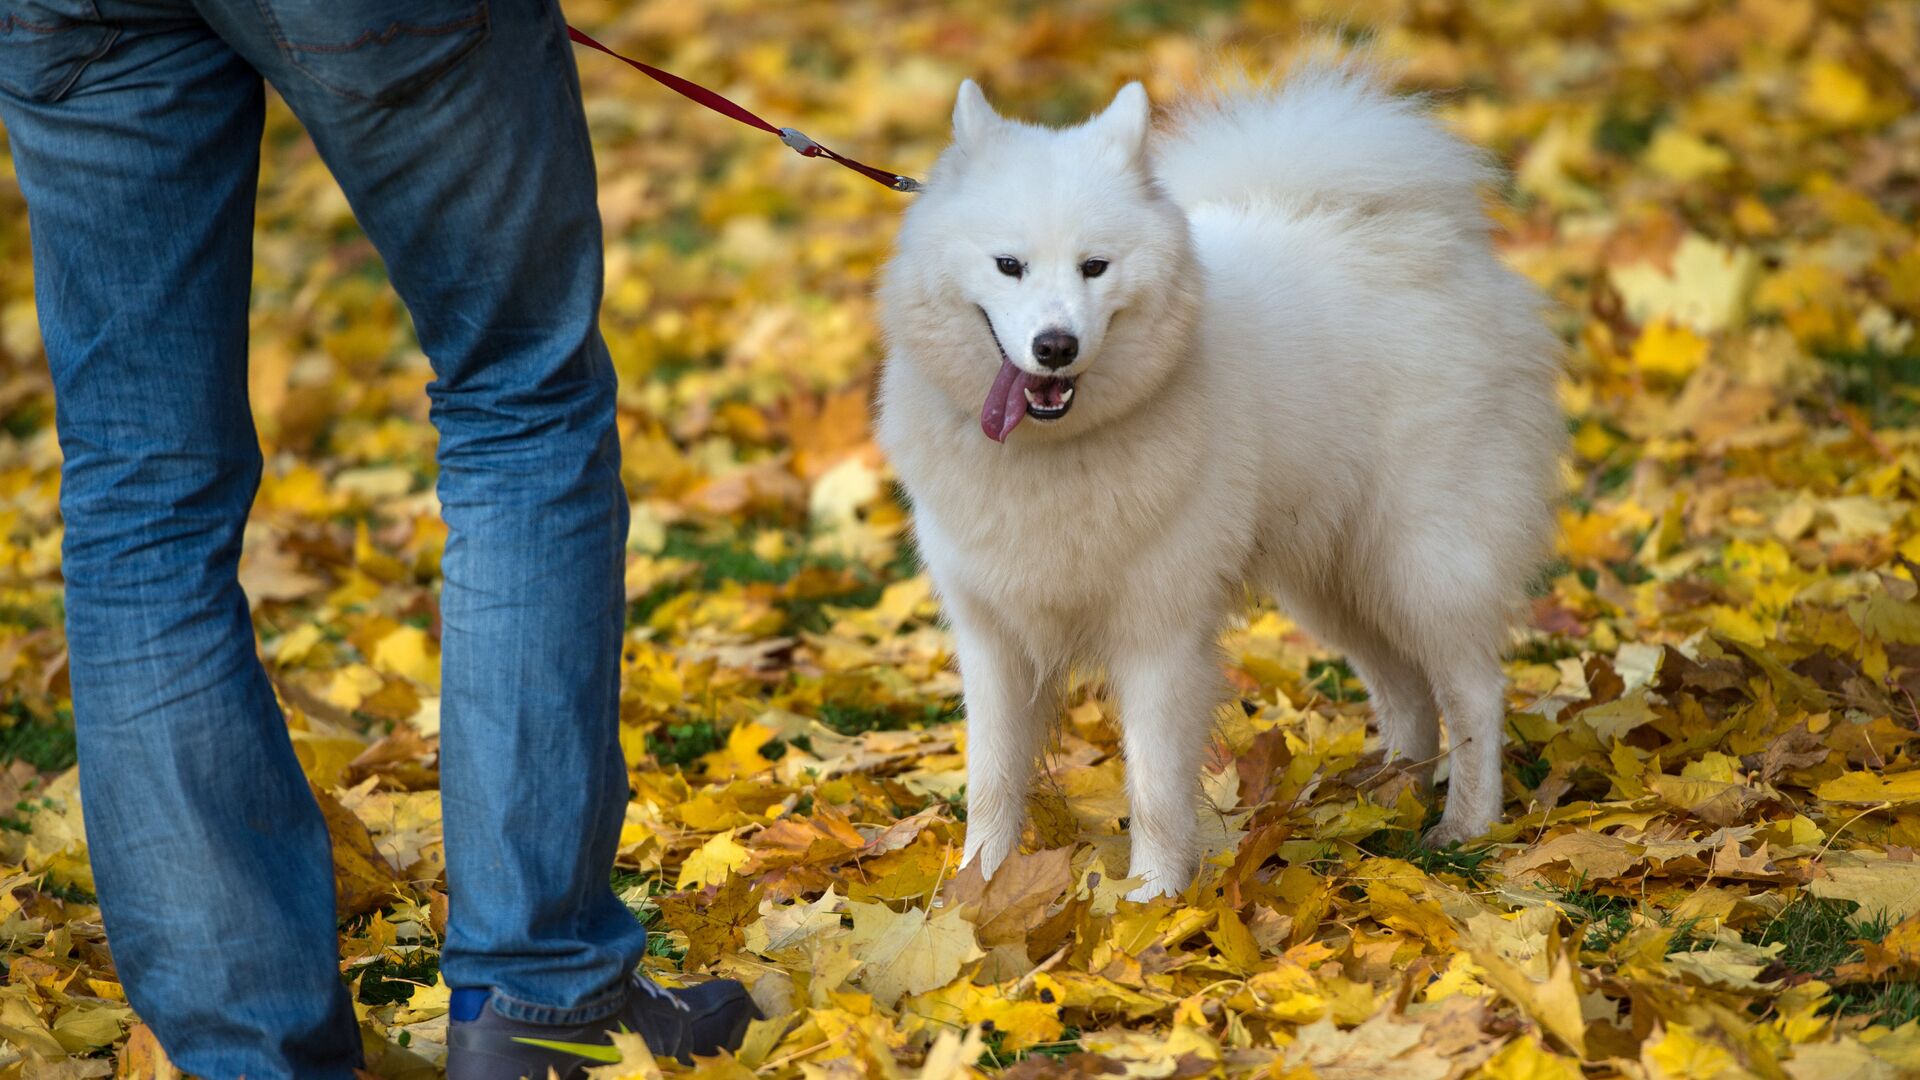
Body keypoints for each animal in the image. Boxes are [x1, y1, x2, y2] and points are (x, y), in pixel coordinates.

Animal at [879, 62, 1566, 895]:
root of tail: (1434, 244)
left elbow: (1153, 786)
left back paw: (1466, 824)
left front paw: (1150, 901)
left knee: (1473, 693)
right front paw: (975, 892)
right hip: (1336, 580)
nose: (1055, 345)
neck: (1053, 452)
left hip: (1421, 562)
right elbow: (992, 778)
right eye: (1008, 265)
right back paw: (1384, 800)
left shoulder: (1158, 634)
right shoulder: (992, 635)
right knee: (1405, 692)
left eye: (1094, 267)